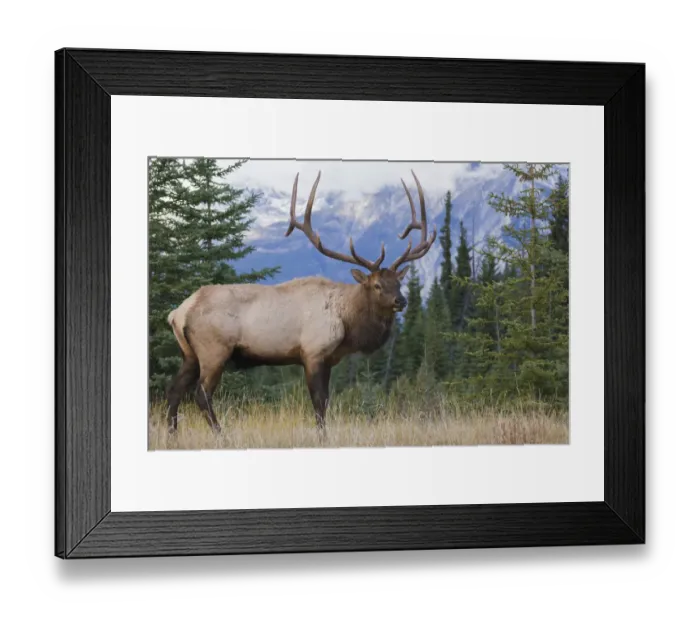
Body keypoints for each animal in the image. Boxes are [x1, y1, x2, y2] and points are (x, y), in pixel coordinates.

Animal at [165, 170, 437, 436]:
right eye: (377, 285)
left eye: (399, 282)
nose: (401, 300)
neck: (347, 322)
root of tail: (178, 313)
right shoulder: (313, 352)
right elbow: (318, 402)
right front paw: (322, 436)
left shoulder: (329, 359)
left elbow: (325, 401)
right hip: (214, 349)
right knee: (201, 394)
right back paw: (220, 434)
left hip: (189, 354)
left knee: (174, 390)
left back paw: (172, 433)